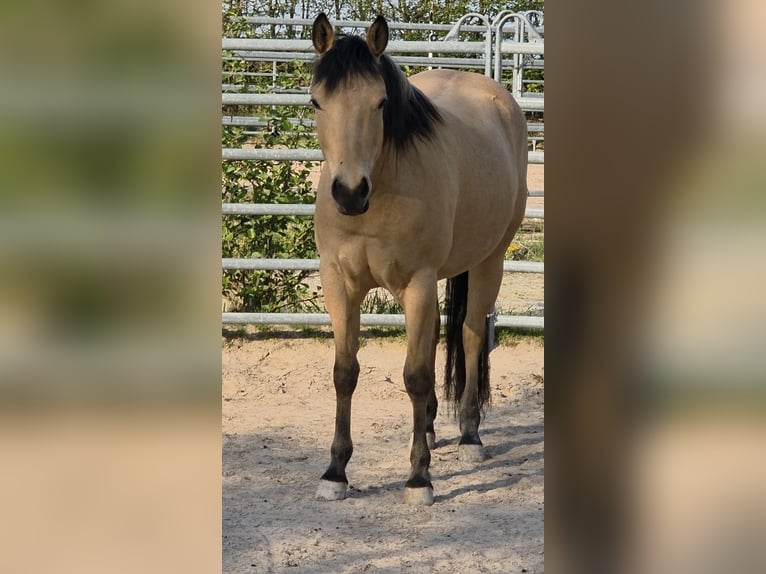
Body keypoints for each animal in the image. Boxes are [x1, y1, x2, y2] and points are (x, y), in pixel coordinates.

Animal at [310, 13, 528, 505]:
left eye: (380, 104)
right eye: (316, 102)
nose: (349, 193)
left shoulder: (417, 282)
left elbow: (414, 376)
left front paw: (418, 479)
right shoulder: (339, 283)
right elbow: (345, 372)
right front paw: (335, 472)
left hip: (489, 261)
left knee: (469, 335)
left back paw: (469, 436)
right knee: (432, 340)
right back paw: (427, 428)